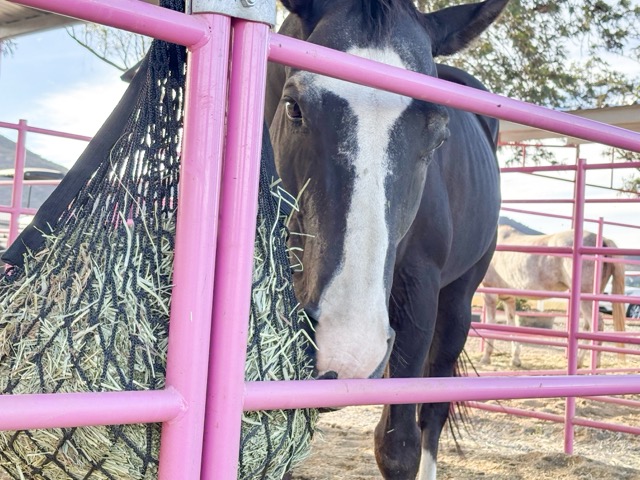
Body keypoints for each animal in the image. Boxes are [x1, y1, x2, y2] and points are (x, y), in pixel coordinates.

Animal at [265, 1, 507, 478]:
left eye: (439, 137)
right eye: (294, 106)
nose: (346, 350)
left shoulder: (418, 294)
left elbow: (398, 448)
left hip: (457, 303)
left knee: (433, 413)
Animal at [480, 225, 626, 368]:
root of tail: (603, 240)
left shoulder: (490, 295)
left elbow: (491, 325)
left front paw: (486, 358)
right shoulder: (509, 299)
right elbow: (511, 326)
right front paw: (515, 360)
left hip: (586, 299)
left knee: (597, 325)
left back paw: (593, 363)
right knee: (587, 326)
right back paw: (579, 361)